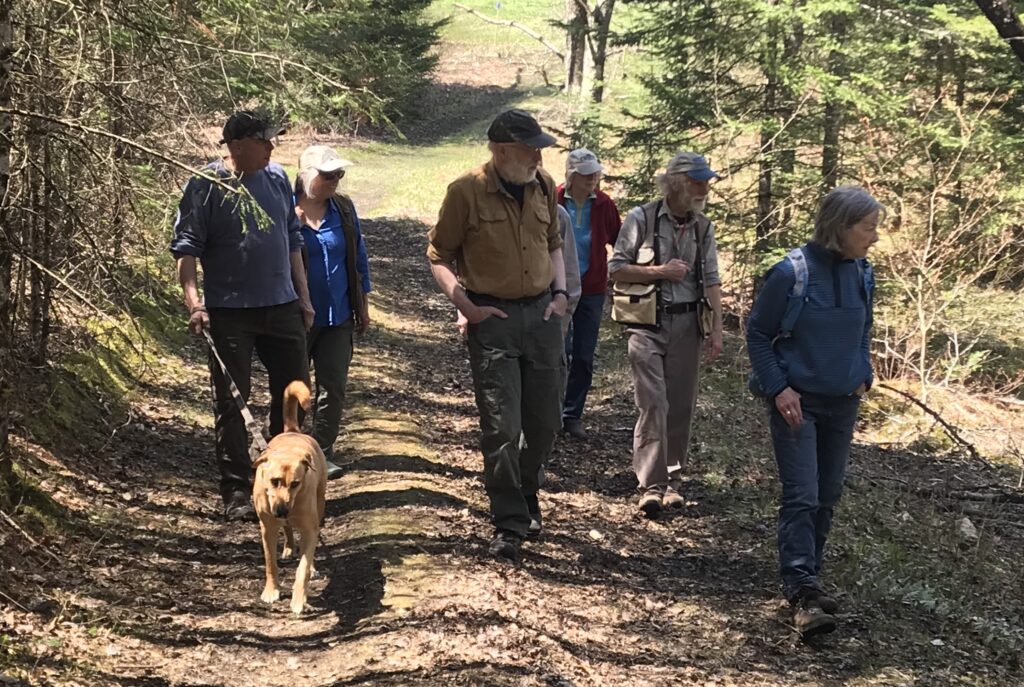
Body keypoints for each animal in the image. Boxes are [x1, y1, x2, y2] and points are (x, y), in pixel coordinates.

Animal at [250, 378, 325, 614]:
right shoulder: (267, 527)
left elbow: (303, 568)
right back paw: (289, 547)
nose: (282, 509)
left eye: (296, 483)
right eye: (274, 481)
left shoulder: (309, 528)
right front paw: (271, 591)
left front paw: (299, 600)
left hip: (320, 502)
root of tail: (293, 430)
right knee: (288, 529)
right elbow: (270, 562)